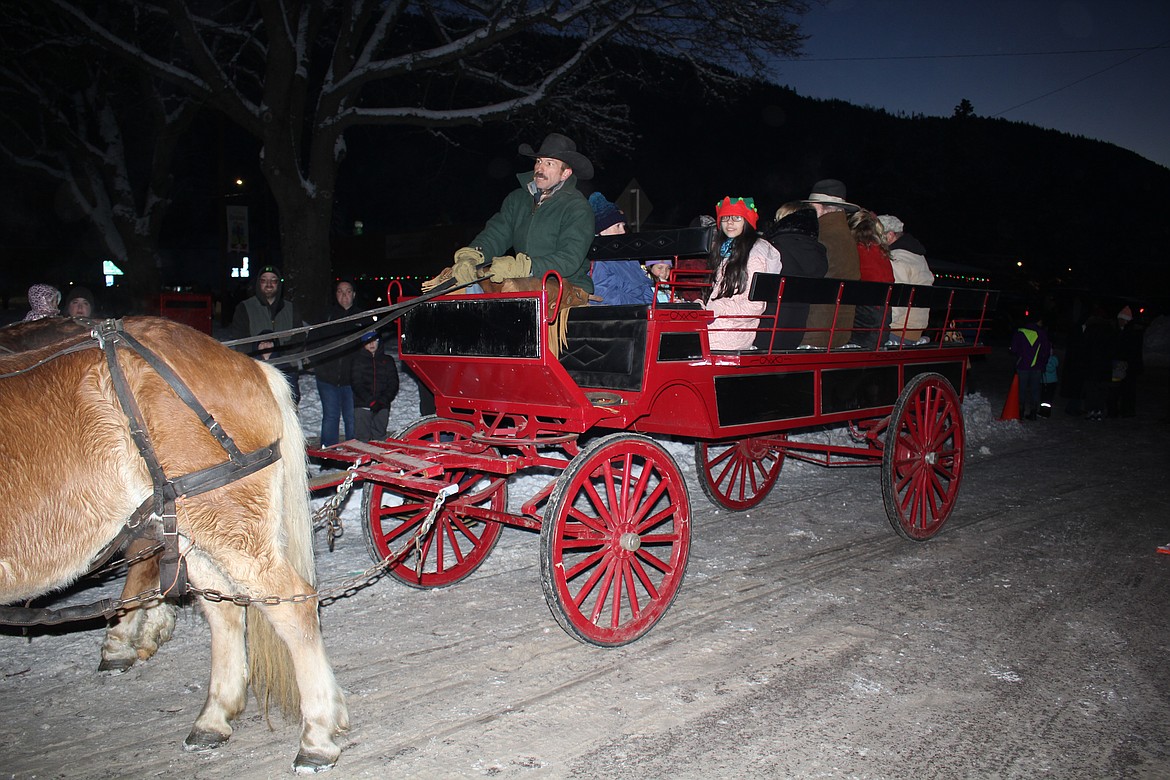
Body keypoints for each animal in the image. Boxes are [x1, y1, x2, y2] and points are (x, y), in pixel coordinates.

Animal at [0, 318, 346, 776]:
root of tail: (248, 364)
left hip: (227, 524)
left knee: (293, 605)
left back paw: (317, 738)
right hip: (186, 526)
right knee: (224, 608)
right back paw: (212, 718)